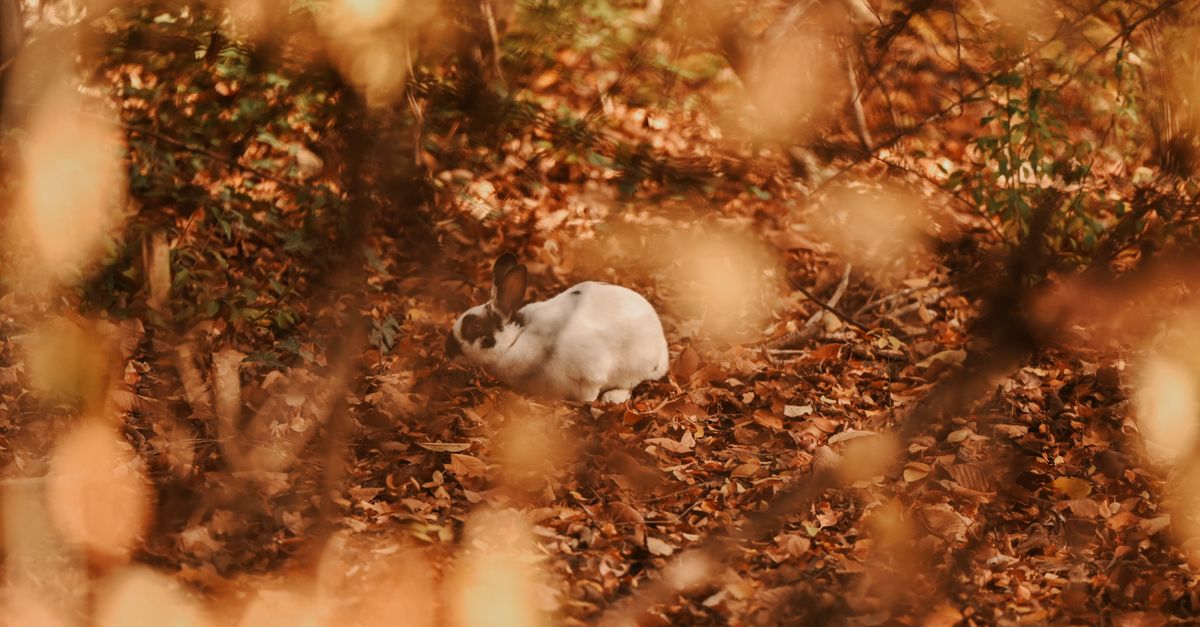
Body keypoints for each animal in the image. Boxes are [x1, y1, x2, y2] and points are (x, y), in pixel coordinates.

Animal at [446, 253, 669, 403]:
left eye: (475, 326)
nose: (447, 351)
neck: (515, 341)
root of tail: (661, 351)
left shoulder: (591, 373)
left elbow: (589, 394)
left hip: (632, 367)